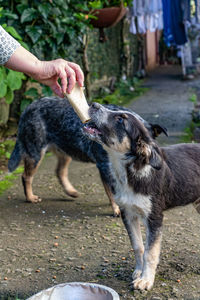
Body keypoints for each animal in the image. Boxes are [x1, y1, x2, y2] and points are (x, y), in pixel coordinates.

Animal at [8, 97, 166, 217]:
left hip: (67, 150)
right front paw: (116, 208)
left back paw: (71, 192)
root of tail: (28, 107)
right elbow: (112, 191)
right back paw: (30, 197)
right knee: (26, 176)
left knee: (60, 172)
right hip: (36, 152)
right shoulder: (104, 167)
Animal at [83, 102, 200, 290]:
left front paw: (146, 279)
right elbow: (138, 246)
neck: (129, 171)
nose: (94, 104)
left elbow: (150, 252)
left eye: (120, 119)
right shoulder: (128, 213)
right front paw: (139, 271)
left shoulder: (155, 217)